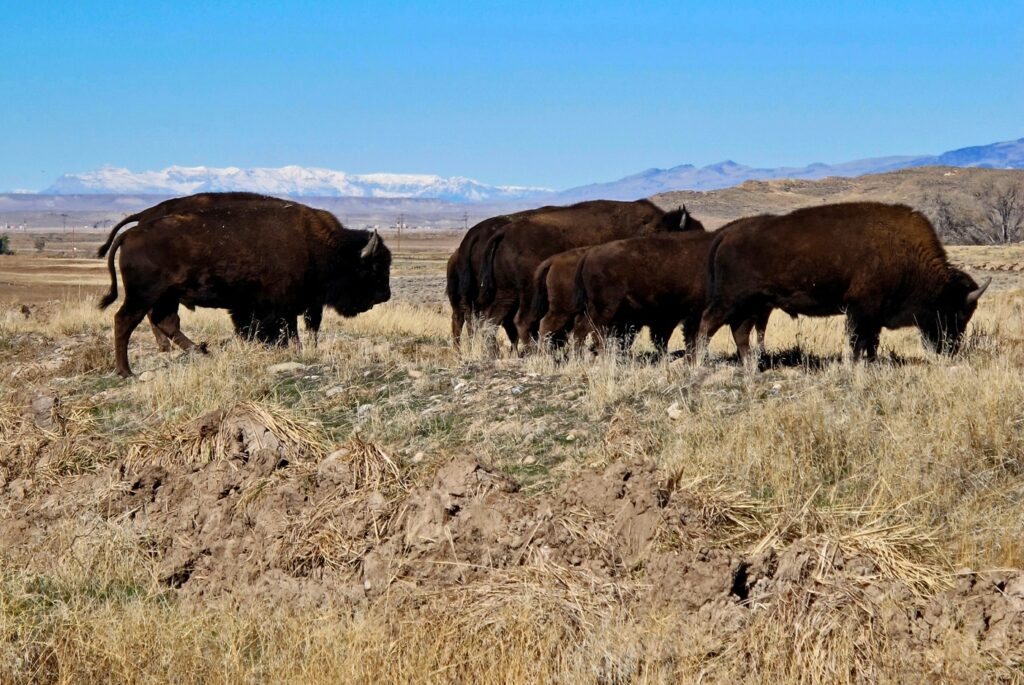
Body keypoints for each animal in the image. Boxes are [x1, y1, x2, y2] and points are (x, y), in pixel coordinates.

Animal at [99, 203, 391, 377]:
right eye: (375, 267)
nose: (385, 295)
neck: (321, 246)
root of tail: (131, 233)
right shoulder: (280, 305)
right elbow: (287, 329)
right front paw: (290, 349)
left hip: (166, 296)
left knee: (165, 322)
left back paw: (202, 352)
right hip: (143, 295)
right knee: (124, 321)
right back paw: (126, 372)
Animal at [697, 202, 990, 361]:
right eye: (954, 313)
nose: (949, 349)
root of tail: (727, 233)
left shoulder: (873, 313)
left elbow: (871, 341)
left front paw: (872, 363)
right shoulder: (861, 309)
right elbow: (858, 341)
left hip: (753, 304)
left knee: (740, 332)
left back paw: (750, 366)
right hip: (732, 300)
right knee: (708, 323)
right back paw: (699, 362)